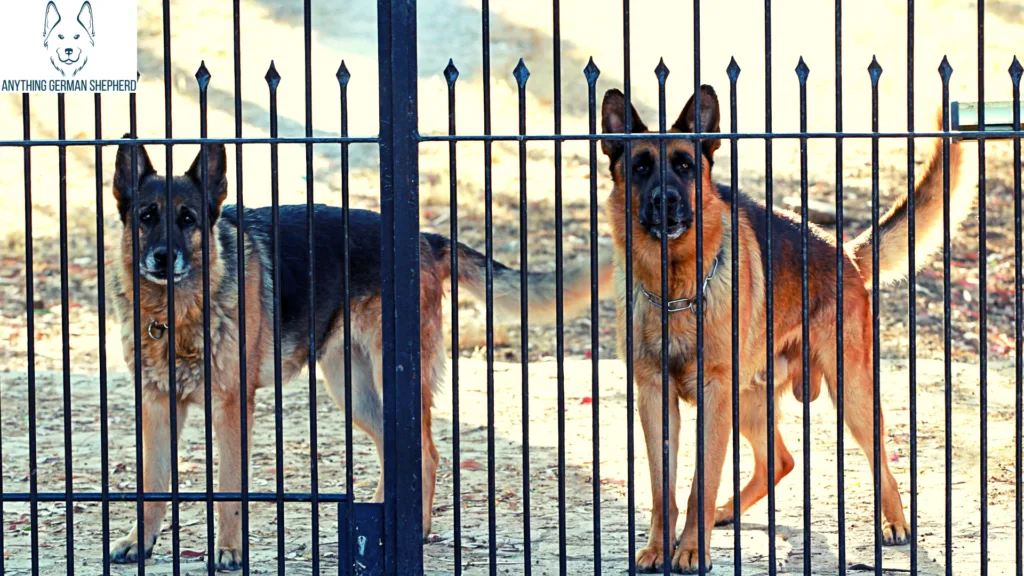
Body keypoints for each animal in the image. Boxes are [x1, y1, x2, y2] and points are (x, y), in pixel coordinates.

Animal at [108, 138, 610, 565]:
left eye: (188, 219)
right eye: (147, 217)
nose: (162, 257)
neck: (176, 313)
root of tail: (424, 239)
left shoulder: (232, 408)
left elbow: (230, 488)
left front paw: (230, 550)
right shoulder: (157, 408)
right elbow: (152, 484)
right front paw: (139, 541)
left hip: (392, 380)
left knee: (426, 454)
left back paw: (415, 531)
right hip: (353, 392)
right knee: (395, 450)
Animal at [598, 85, 962, 569]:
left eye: (684, 166)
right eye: (640, 168)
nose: (666, 200)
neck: (675, 287)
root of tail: (843, 252)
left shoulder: (713, 396)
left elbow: (699, 485)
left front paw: (691, 550)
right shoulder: (654, 395)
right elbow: (663, 490)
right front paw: (660, 548)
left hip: (850, 393)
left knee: (879, 458)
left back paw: (896, 522)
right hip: (748, 402)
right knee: (780, 460)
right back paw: (728, 510)